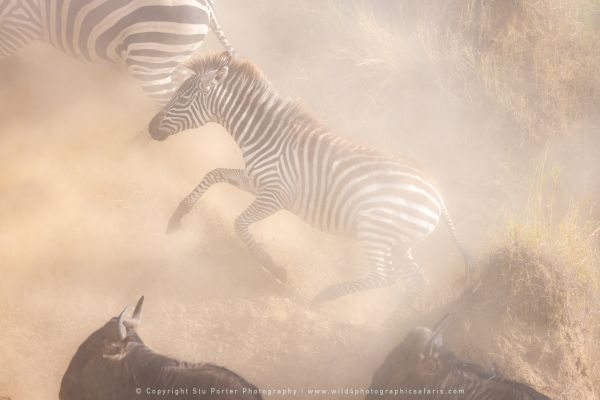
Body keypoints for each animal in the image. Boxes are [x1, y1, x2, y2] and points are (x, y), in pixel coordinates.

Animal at [148, 52, 472, 310]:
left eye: (183, 97)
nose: (151, 128)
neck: (266, 136)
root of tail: (438, 196)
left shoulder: (276, 195)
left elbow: (239, 224)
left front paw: (276, 269)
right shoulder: (256, 181)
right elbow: (212, 174)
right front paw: (177, 217)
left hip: (375, 231)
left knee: (385, 276)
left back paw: (324, 298)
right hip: (399, 243)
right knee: (416, 281)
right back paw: (389, 329)